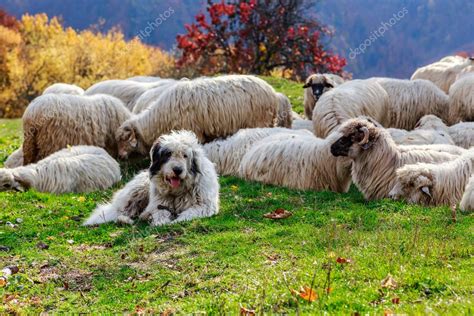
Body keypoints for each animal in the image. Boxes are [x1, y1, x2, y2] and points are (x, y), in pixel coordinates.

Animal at [84, 131, 219, 227]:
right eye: (168, 154)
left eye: (185, 155)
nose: (177, 170)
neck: (177, 191)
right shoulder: (159, 204)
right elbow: (160, 213)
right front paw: (160, 221)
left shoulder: (204, 205)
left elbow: (189, 212)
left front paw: (177, 220)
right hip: (137, 190)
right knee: (123, 211)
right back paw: (126, 219)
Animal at [117, 74, 282, 158]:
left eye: (125, 140)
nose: (119, 157)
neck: (158, 119)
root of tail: (270, 90)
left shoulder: (193, 131)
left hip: (261, 120)